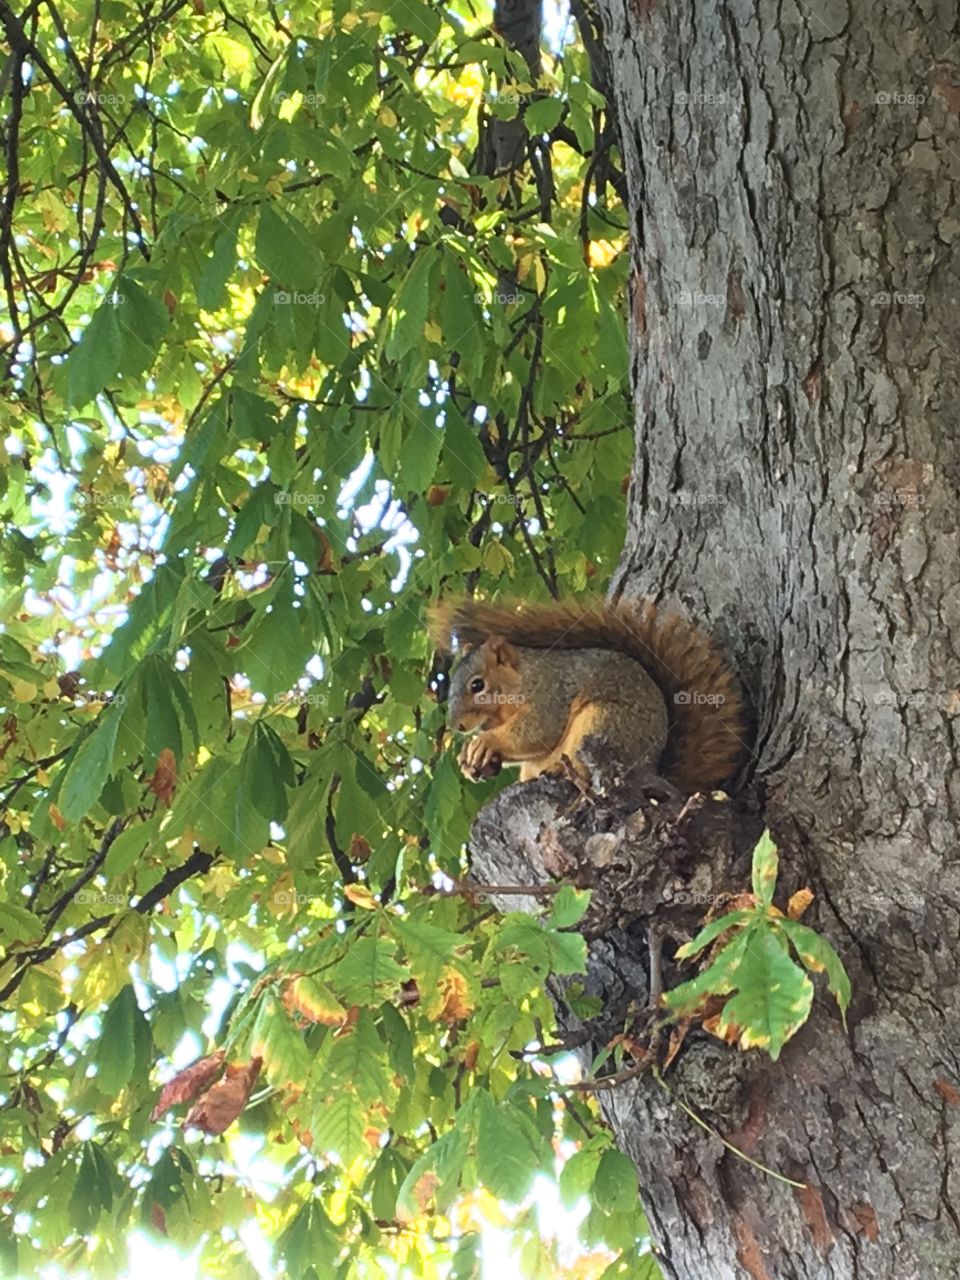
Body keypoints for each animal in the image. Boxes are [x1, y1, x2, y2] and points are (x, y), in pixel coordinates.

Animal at [427, 596, 752, 788]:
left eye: (477, 685)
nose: (456, 726)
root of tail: (654, 770)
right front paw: (472, 761)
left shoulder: (551, 692)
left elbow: (537, 731)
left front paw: (482, 743)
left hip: (604, 724)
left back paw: (560, 771)